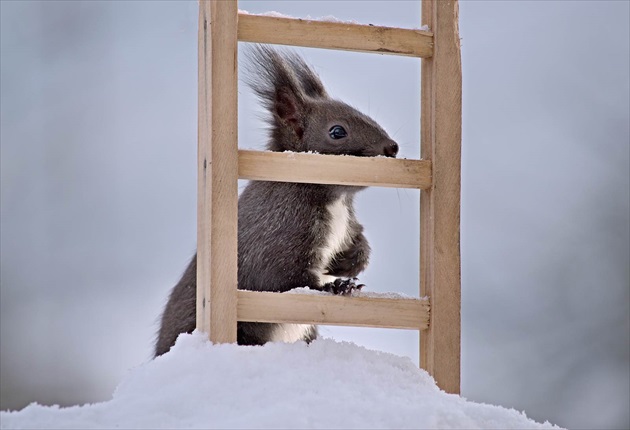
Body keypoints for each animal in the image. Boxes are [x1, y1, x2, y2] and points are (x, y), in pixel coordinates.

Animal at [154, 45, 400, 358]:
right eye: (337, 131)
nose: (392, 147)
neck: (334, 197)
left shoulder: (347, 223)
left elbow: (358, 242)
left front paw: (350, 263)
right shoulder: (278, 233)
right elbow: (286, 279)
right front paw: (337, 285)